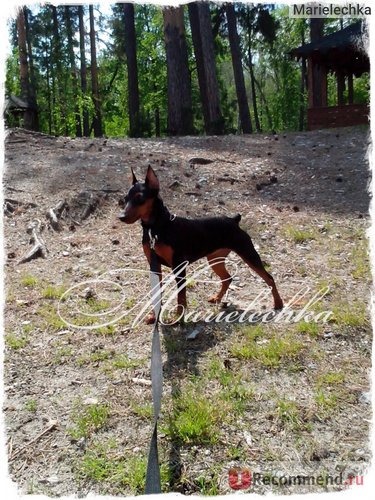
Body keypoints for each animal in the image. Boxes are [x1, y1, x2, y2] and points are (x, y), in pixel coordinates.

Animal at [119, 167, 284, 324]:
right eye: (125, 199)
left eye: (140, 198)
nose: (121, 217)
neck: (156, 228)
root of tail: (233, 220)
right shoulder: (154, 266)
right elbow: (156, 294)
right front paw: (154, 317)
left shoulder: (179, 267)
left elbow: (181, 297)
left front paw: (178, 318)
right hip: (215, 260)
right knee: (227, 278)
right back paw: (217, 298)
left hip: (248, 253)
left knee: (269, 278)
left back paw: (278, 303)